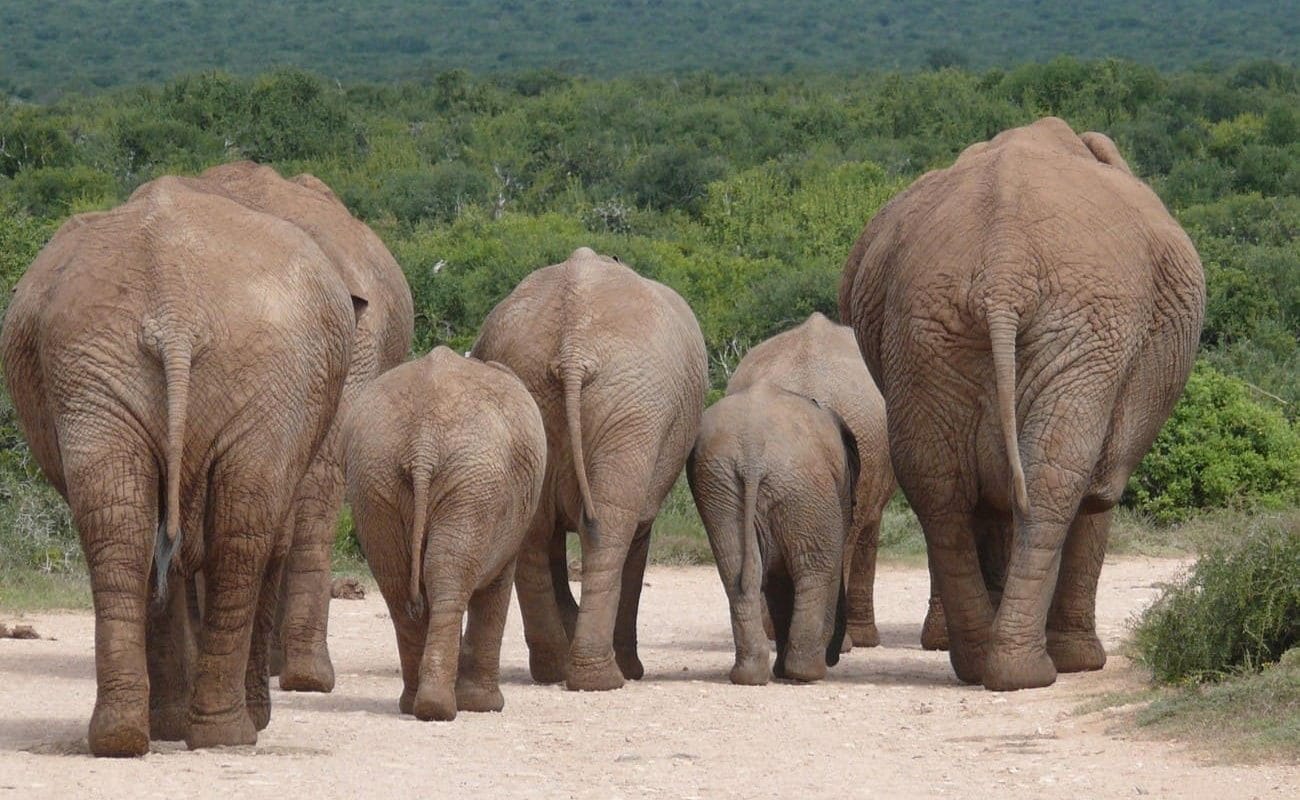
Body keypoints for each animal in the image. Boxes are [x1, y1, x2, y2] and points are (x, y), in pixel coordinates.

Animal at [0, 177, 358, 755]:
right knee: (242, 532)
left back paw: (125, 736)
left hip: (94, 363)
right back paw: (227, 734)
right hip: (261, 368)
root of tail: (174, 308)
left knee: (121, 522)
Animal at [341, 347, 546, 721]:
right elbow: (497, 584)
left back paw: (418, 705)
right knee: (447, 578)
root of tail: (423, 442)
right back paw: (440, 707)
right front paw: (484, 706)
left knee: (398, 585)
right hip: (472, 481)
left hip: (374, 477)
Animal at [471, 247, 707, 691]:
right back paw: (605, 678)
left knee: (536, 532)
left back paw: (555, 671)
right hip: (633, 409)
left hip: (541, 390)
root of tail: (572, 348)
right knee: (611, 529)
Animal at [687, 383, 856, 684]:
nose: (835, 657)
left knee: (736, 569)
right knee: (815, 568)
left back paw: (750, 676)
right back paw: (807, 673)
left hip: (720, 484)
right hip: (801, 483)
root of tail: (752, 456)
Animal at [839, 117, 1205, 691]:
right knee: (1058, 476)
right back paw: (1033, 672)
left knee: (939, 483)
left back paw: (982, 665)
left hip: (925, 330)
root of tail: (1002, 269)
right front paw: (1082, 663)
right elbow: (1099, 490)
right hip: (1086, 328)